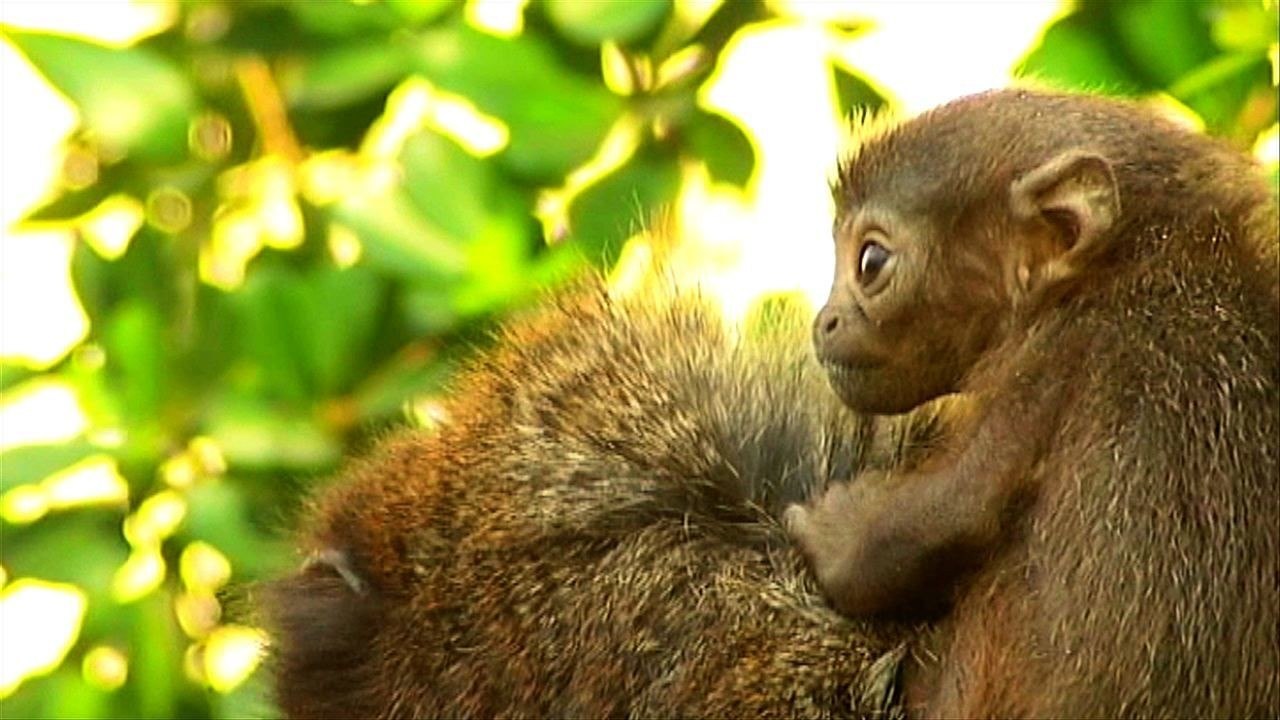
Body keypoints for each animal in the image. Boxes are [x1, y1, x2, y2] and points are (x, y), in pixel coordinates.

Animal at [785, 89, 1280, 718]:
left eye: (870, 262)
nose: (824, 321)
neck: (1135, 263)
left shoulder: (1047, 359)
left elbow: (943, 515)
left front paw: (834, 527)